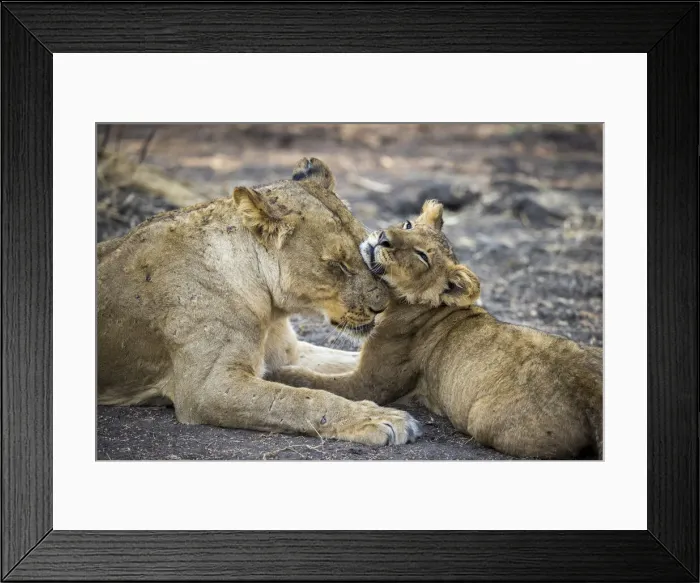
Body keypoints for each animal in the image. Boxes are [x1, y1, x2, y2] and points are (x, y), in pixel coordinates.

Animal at [97, 158, 422, 446]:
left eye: (367, 247)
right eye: (337, 265)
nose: (382, 307)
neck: (270, 310)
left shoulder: (285, 354)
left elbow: (343, 362)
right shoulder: (208, 388)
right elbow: (302, 400)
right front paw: (379, 418)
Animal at [267, 200, 603, 459]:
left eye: (422, 256)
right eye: (407, 225)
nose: (384, 238)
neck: (402, 302)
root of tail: (593, 395)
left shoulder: (370, 385)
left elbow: (315, 381)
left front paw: (279, 374)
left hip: (486, 421)